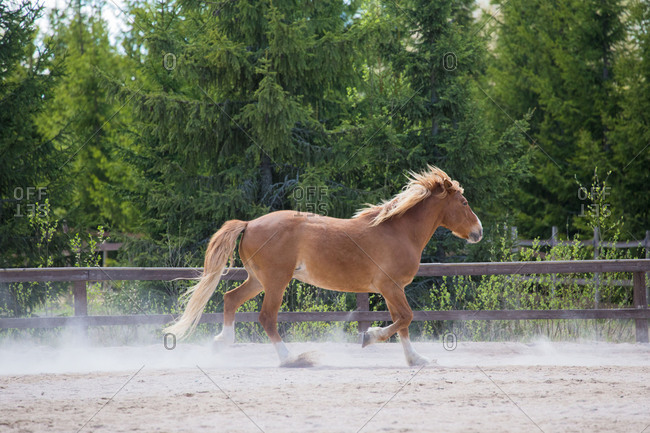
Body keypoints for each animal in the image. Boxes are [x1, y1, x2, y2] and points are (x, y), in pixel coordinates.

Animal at [164, 165, 482, 366]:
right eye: (464, 202)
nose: (479, 232)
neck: (398, 231)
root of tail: (250, 223)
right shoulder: (390, 286)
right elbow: (405, 318)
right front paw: (369, 337)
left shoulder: (392, 289)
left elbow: (402, 324)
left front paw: (417, 359)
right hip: (276, 282)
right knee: (266, 318)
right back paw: (292, 359)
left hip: (257, 280)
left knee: (230, 298)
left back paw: (221, 341)